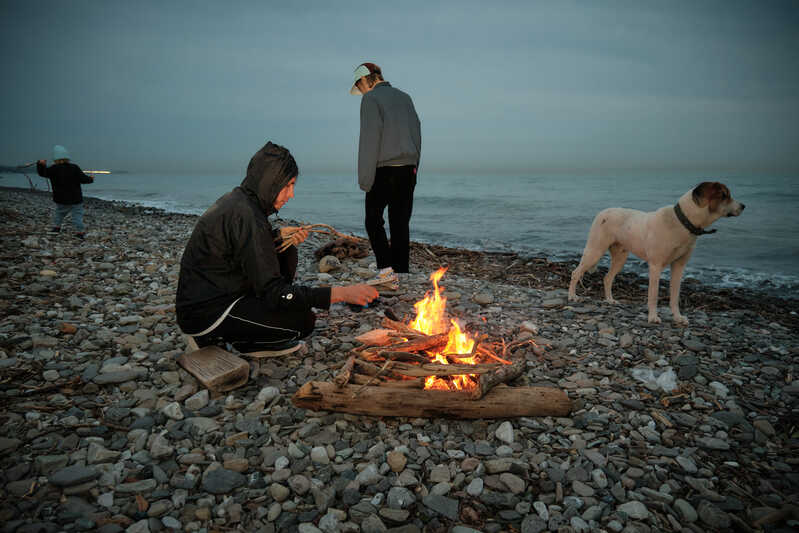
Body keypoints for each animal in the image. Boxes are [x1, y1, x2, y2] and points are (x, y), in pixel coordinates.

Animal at [568, 182, 744, 324]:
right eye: (724, 195)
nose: (743, 206)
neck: (683, 222)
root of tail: (603, 212)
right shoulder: (655, 266)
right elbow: (653, 295)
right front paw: (653, 317)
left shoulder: (679, 267)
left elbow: (675, 296)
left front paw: (677, 317)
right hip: (595, 251)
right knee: (576, 272)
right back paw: (572, 296)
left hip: (620, 257)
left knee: (607, 278)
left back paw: (610, 300)